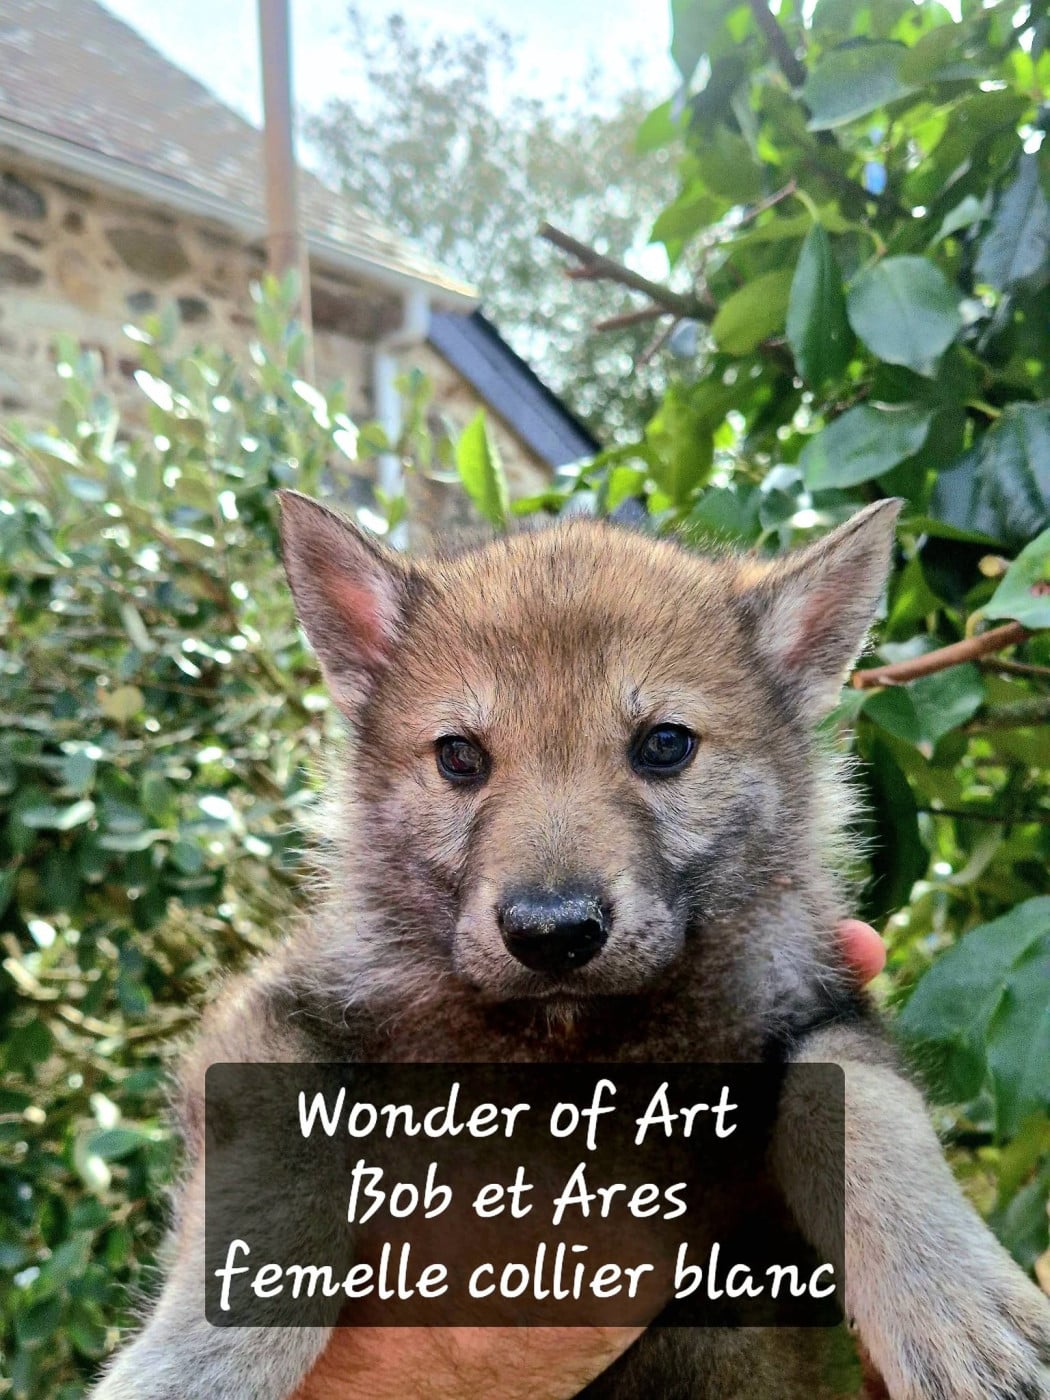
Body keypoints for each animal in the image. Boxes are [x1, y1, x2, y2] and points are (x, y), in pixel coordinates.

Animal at [93, 493, 1050, 1399]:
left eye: (664, 744)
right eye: (459, 756)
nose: (552, 934)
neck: (570, 1038)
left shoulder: (820, 1009)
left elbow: (862, 1110)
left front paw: (964, 1312)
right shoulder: (274, 1014)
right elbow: (278, 1184)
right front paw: (191, 1364)